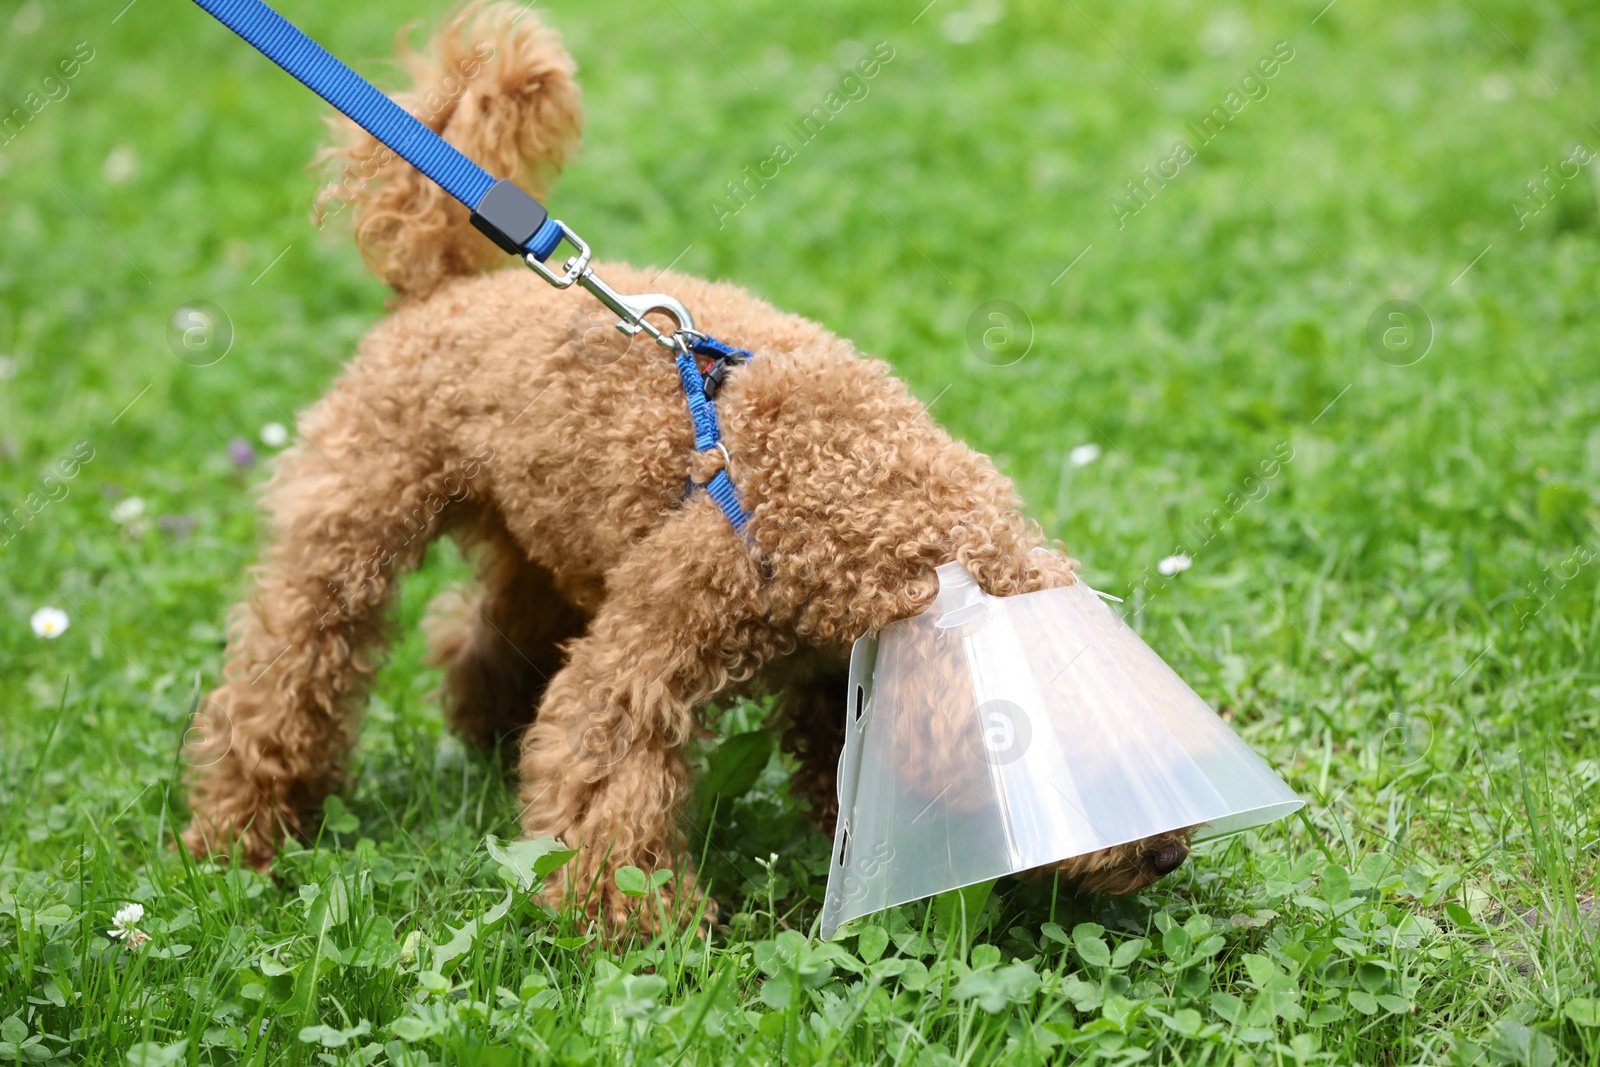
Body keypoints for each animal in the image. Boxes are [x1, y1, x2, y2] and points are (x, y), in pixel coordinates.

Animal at [184, 2, 1190, 927]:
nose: (1172, 854)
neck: (861, 490)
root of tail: (449, 280)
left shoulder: (830, 672)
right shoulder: (659, 640)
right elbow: (604, 769)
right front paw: (637, 925)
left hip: (544, 531)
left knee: (487, 629)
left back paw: (484, 730)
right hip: (356, 511)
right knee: (288, 666)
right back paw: (241, 830)